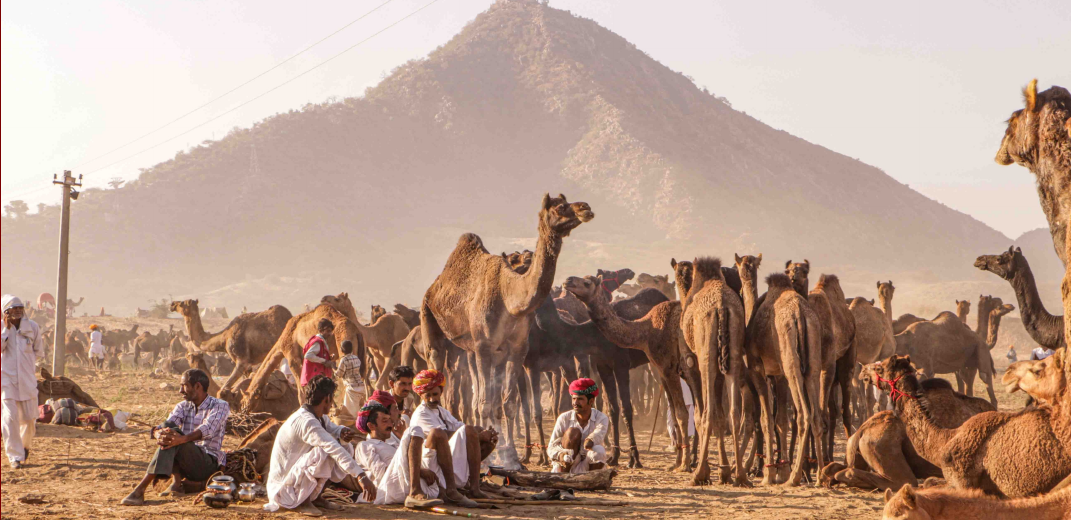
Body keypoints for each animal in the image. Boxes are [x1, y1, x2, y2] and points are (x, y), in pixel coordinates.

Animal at [419, 193, 593, 466]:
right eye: (560, 207)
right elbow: (485, 402)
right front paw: (489, 457)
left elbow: (507, 403)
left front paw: (509, 455)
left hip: (472, 351)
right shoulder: (484, 346)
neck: (509, 299)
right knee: (437, 370)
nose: (585, 208)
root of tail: (433, 287)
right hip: (430, 320)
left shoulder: (516, 349)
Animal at [564, 275, 696, 472]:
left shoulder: (621, 365)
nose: (568, 280)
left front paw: (634, 457)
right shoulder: (603, 366)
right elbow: (613, 408)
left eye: (587, 282)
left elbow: (626, 408)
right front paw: (614, 455)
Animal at [678, 258, 748, 486]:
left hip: (706, 356)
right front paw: (724, 472)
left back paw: (698, 474)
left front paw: (710, 471)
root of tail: (721, 306)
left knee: (707, 412)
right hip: (733, 352)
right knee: (733, 413)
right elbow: (720, 415)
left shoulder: (692, 365)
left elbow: (701, 415)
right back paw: (741, 476)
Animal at [743, 273, 827, 486]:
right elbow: (780, 420)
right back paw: (821, 476)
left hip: (791, 363)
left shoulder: (757, 368)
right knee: (816, 415)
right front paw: (782, 471)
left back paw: (795, 477)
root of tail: (800, 314)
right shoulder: (779, 375)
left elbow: (766, 419)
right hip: (812, 362)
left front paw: (770, 475)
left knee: (804, 414)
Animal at [821, 355, 995, 492]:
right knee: (903, 480)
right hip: (881, 447)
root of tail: (861, 430)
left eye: (879, 368)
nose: (863, 371)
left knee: (836, 468)